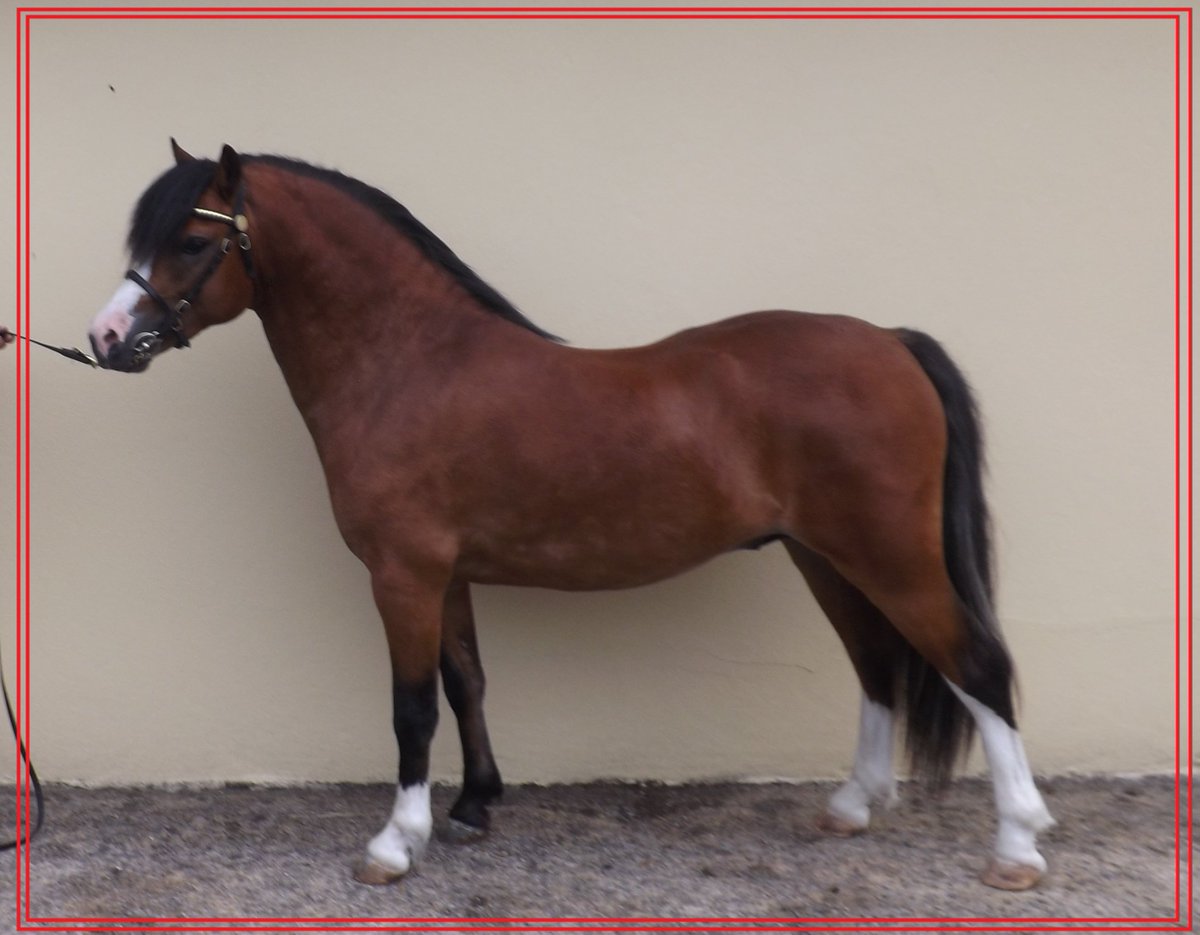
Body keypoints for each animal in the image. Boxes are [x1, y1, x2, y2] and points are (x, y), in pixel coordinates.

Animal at [87, 142, 1054, 891]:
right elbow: (467, 682)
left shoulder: (403, 574)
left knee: (975, 663)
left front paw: (396, 844)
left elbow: (412, 708)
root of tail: (890, 341)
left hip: (890, 555)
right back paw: (853, 806)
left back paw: (1016, 847)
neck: (409, 361)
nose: (105, 337)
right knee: (878, 665)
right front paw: (474, 806)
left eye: (191, 239)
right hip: (825, 557)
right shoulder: (447, 574)